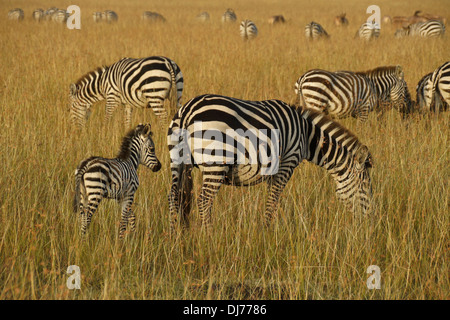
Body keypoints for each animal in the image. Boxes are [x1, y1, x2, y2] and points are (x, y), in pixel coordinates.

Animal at [167, 94, 374, 231]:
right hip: (216, 162)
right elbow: (273, 199)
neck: (307, 136)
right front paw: (267, 231)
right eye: (365, 186)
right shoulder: (288, 161)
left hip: (178, 161)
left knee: (174, 197)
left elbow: (270, 198)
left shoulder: (272, 168)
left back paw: (176, 236)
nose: (368, 223)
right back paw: (209, 236)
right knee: (204, 201)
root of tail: (187, 111)